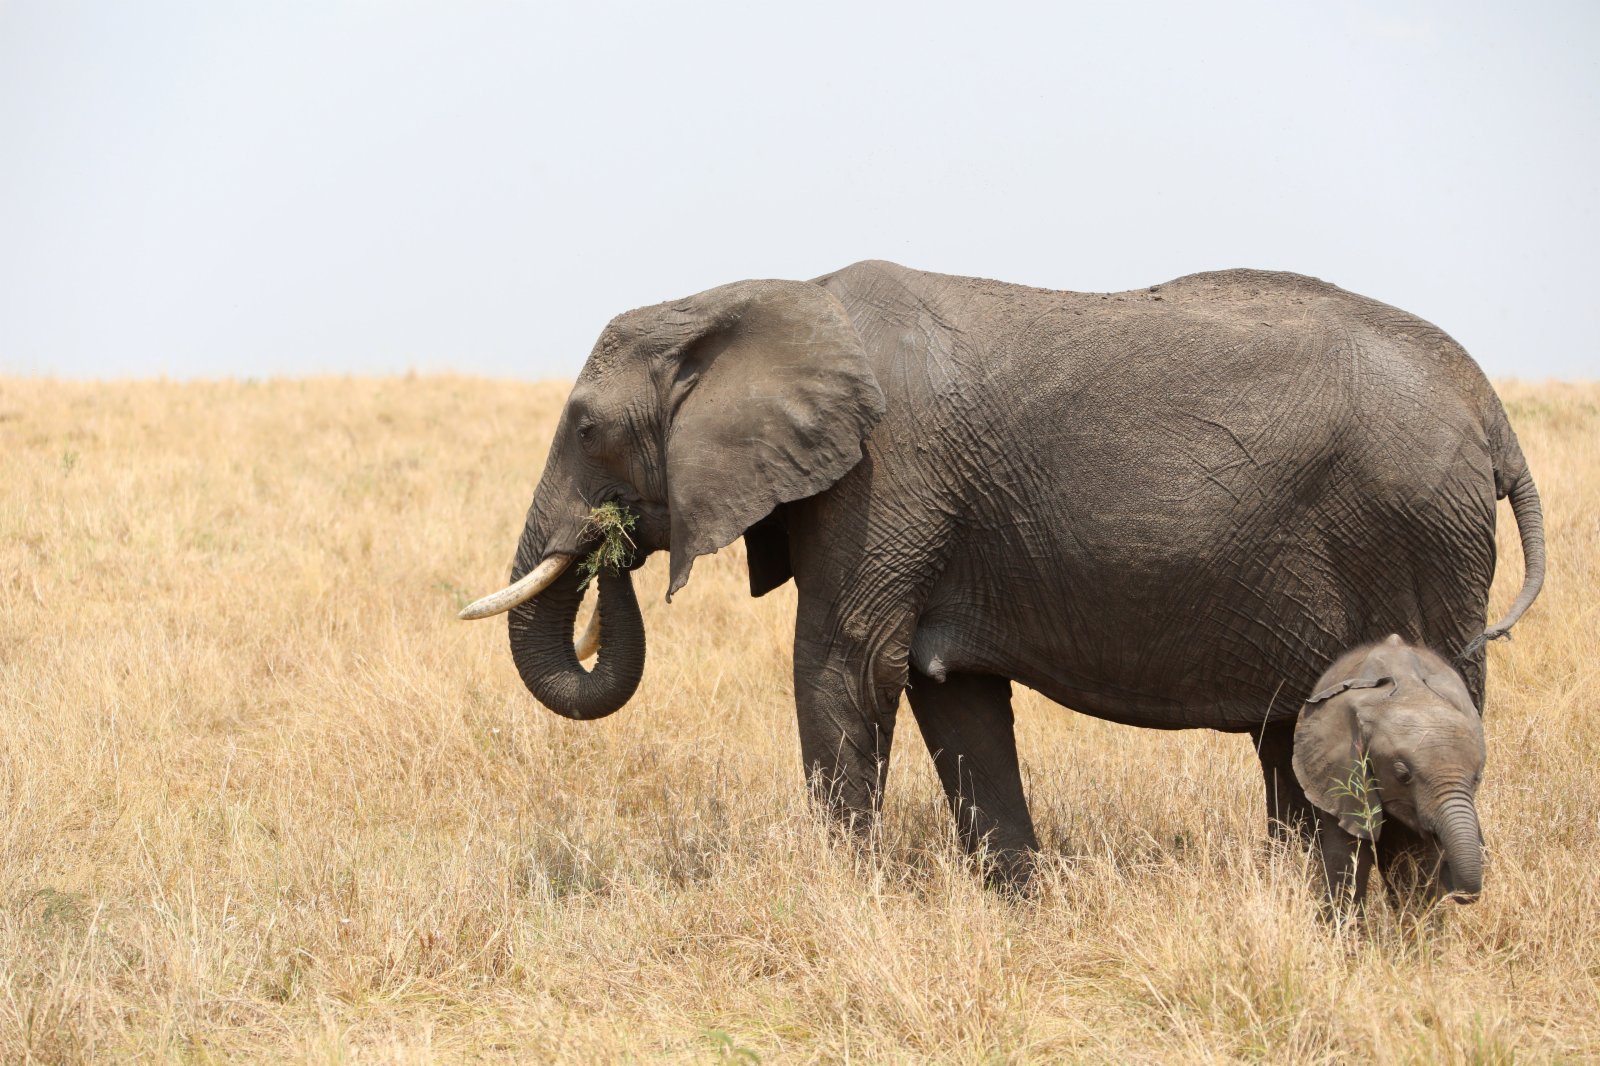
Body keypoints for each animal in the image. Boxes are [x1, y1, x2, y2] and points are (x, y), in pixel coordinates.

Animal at [1286, 633, 1484, 902]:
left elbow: (1420, 866)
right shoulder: (1342, 772)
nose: (1455, 884)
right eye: (1402, 775)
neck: (1410, 694)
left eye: (1476, 778)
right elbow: (1347, 858)